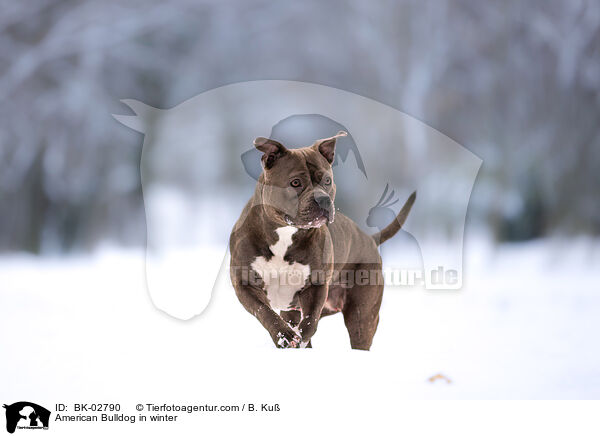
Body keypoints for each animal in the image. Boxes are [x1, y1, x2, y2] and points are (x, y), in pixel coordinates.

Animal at [230, 131, 418, 350]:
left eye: (327, 181)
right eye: (295, 182)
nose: (323, 200)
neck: (285, 233)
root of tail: (369, 239)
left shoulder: (316, 286)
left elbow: (310, 320)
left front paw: (300, 338)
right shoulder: (245, 284)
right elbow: (265, 311)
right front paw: (284, 335)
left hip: (362, 315)